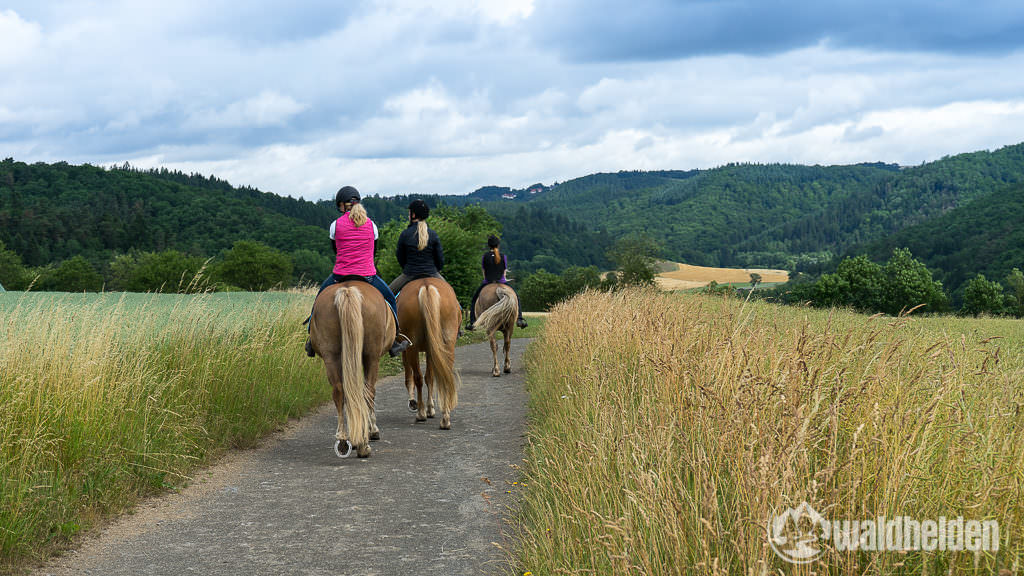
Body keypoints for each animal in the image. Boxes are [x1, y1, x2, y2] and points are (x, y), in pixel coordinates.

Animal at [305, 278, 393, 457]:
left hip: (331, 355)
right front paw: (371, 431)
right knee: (368, 391)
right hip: (371, 355)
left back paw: (343, 440)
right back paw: (365, 442)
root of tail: (347, 290)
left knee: (339, 391)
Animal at [395, 276, 460, 428]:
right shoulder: (431, 350)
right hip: (446, 345)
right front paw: (430, 408)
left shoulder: (405, 350)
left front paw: (415, 404)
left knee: (417, 377)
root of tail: (426, 286)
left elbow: (410, 377)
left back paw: (421, 413)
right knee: (444, 375)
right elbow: (430, 377)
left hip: (412, 348)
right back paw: (445, 418)